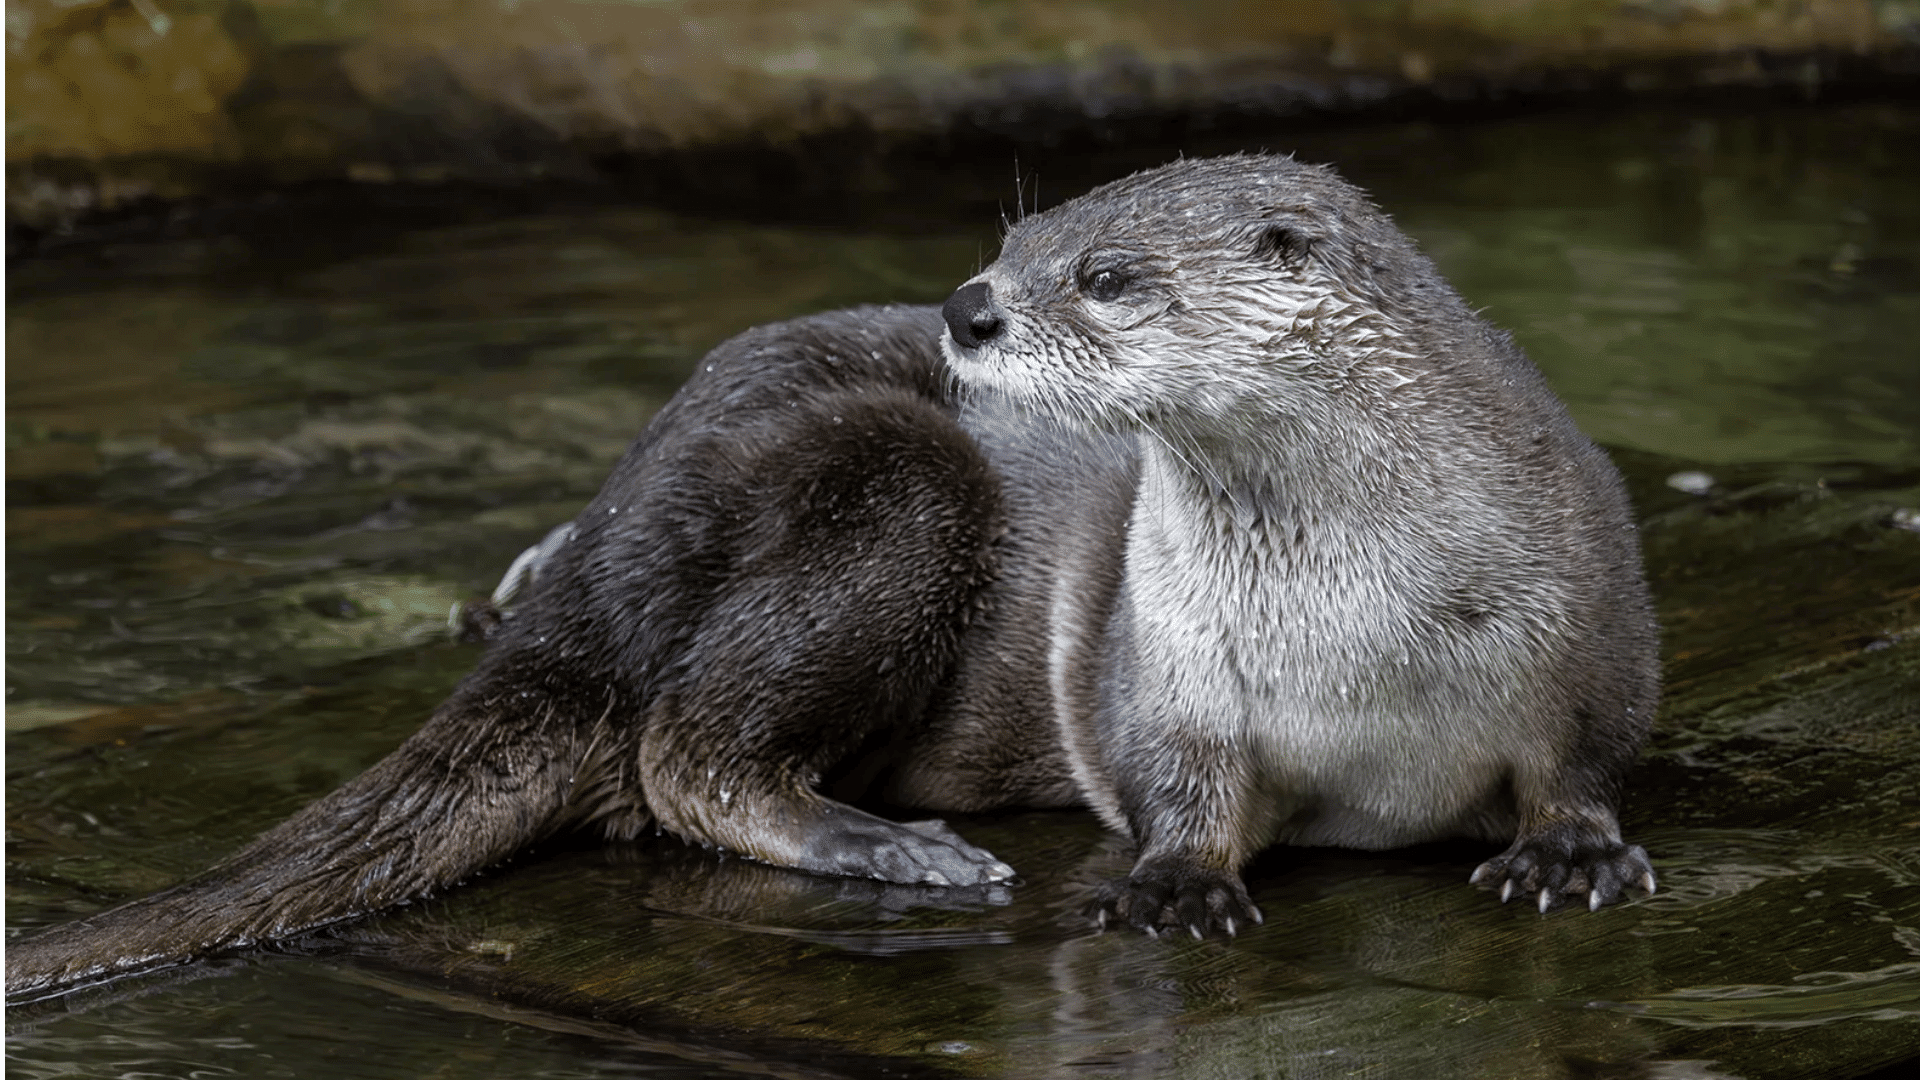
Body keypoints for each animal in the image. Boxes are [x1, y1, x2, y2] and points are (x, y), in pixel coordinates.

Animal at [7, 154, 1657, 1000]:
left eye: (1107, 275)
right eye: (1013, 236)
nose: (969, 307)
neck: (1359, 637)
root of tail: (602, 563)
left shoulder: (1585, 617)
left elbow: (1577, 753)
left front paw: (1570, 854)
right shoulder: (1169, 663)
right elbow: (1177, 783)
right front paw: (1177, 887)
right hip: (892, 483)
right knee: (679, 755)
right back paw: (890, 849)